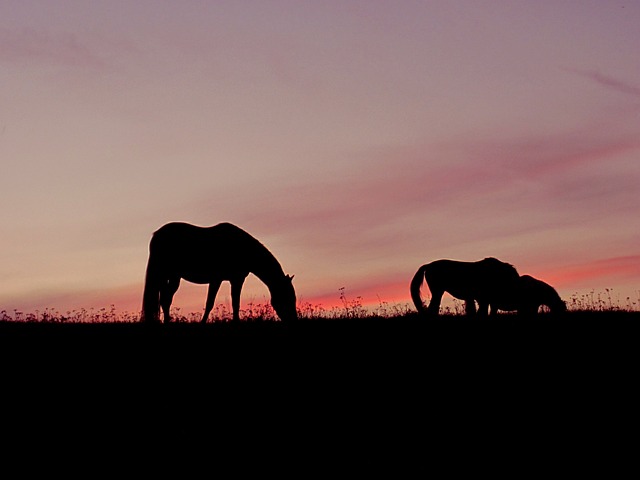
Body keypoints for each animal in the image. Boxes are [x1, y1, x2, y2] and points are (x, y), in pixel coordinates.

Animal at [141, 223, 296, 324]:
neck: (242, 248)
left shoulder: (237, 279)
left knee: (165, 298)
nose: (294, 320)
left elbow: (235, 303)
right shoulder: (216, 279)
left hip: (172, 276)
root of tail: (156, 235)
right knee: (165, 299)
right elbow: (210, 303)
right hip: (166, 274)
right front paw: (203, 323)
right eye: (287, 298)